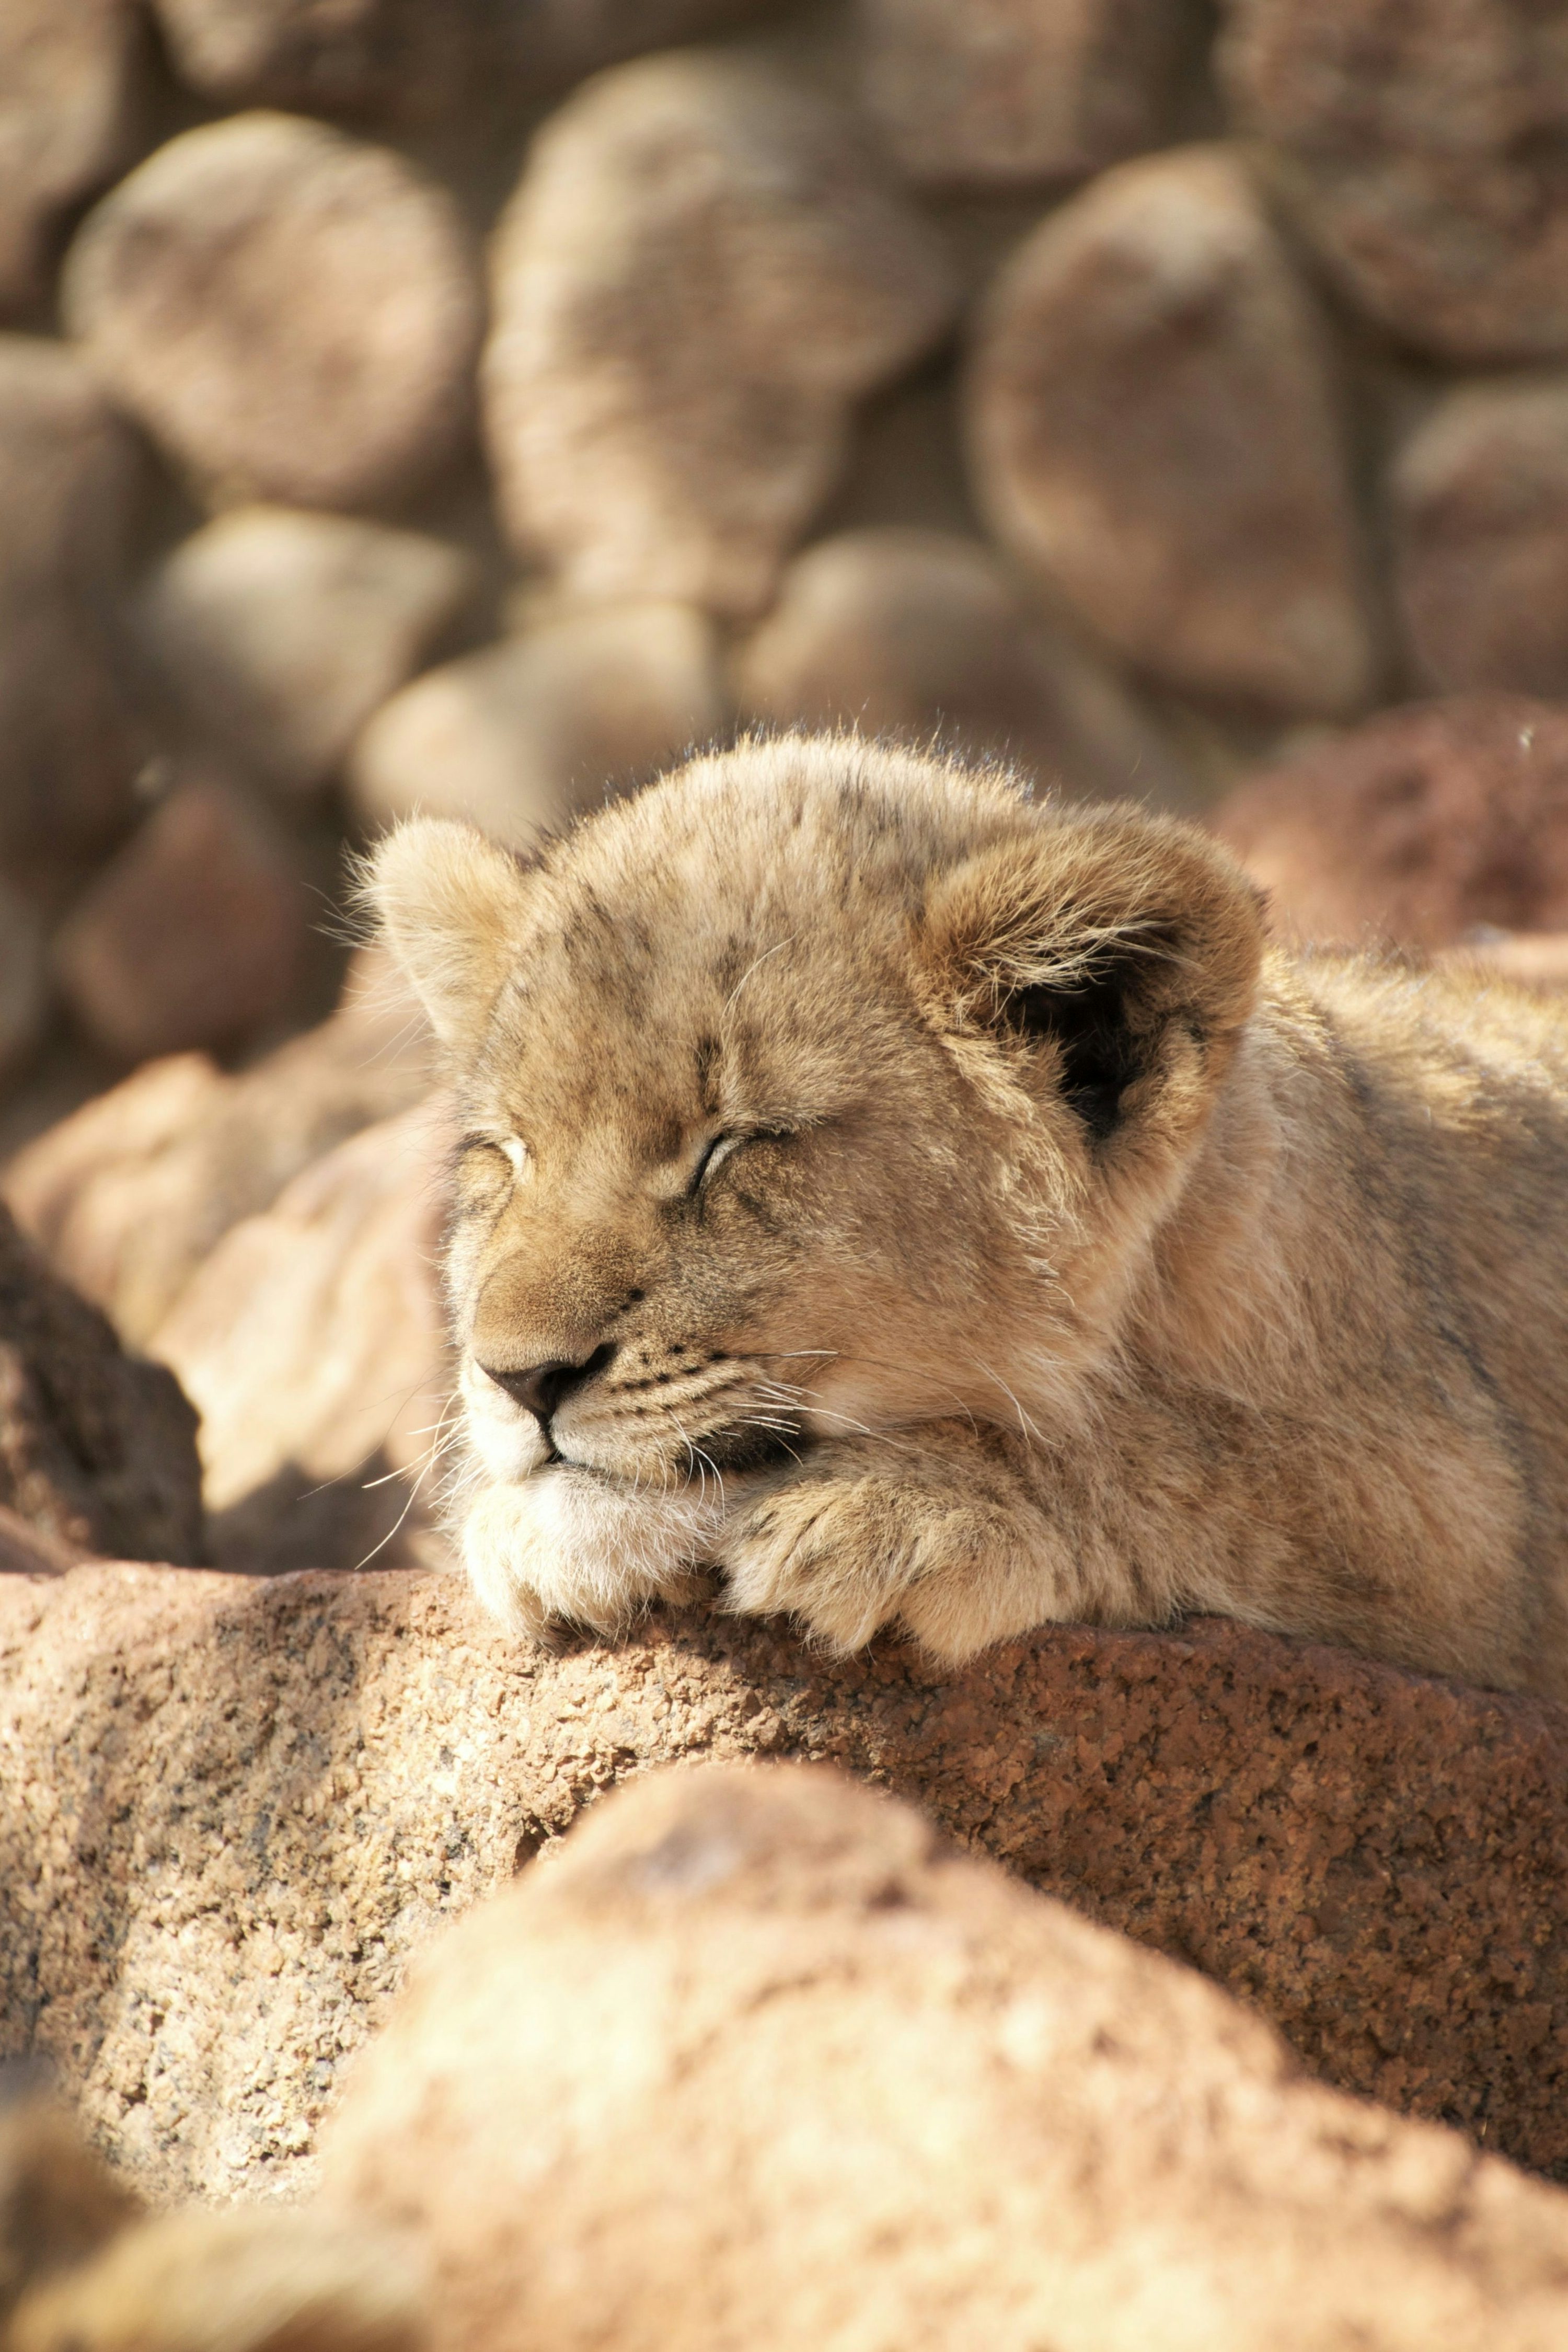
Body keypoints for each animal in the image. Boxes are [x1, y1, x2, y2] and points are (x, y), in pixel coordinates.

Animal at [366, 735, 1568, 1696]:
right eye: (505, 1155)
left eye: (736, 1144)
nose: (518, 1379)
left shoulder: (1471, 1527)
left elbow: (1187, 1464)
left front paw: (912, 1507)